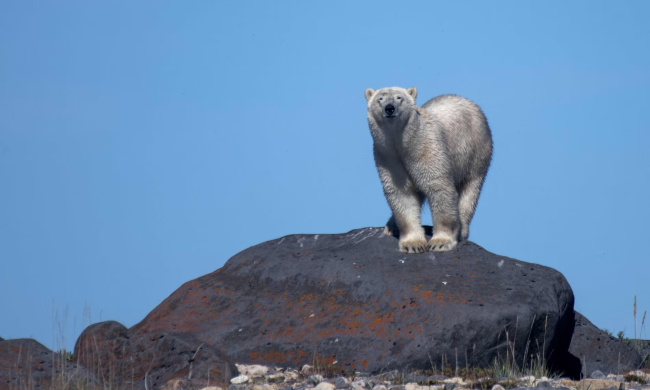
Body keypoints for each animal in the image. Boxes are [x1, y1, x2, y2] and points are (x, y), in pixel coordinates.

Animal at [364, 87, 492, 253]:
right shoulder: (388, 158)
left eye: (399, 98)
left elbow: (438, 188)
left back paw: (462, 229)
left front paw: (440, 242)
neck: (404, 145)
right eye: (380, 98)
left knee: (470, 191)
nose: (389, 108)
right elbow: (402, 194)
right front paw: (413, 244)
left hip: (476, 153)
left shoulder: (427, 149)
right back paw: (391, 227)